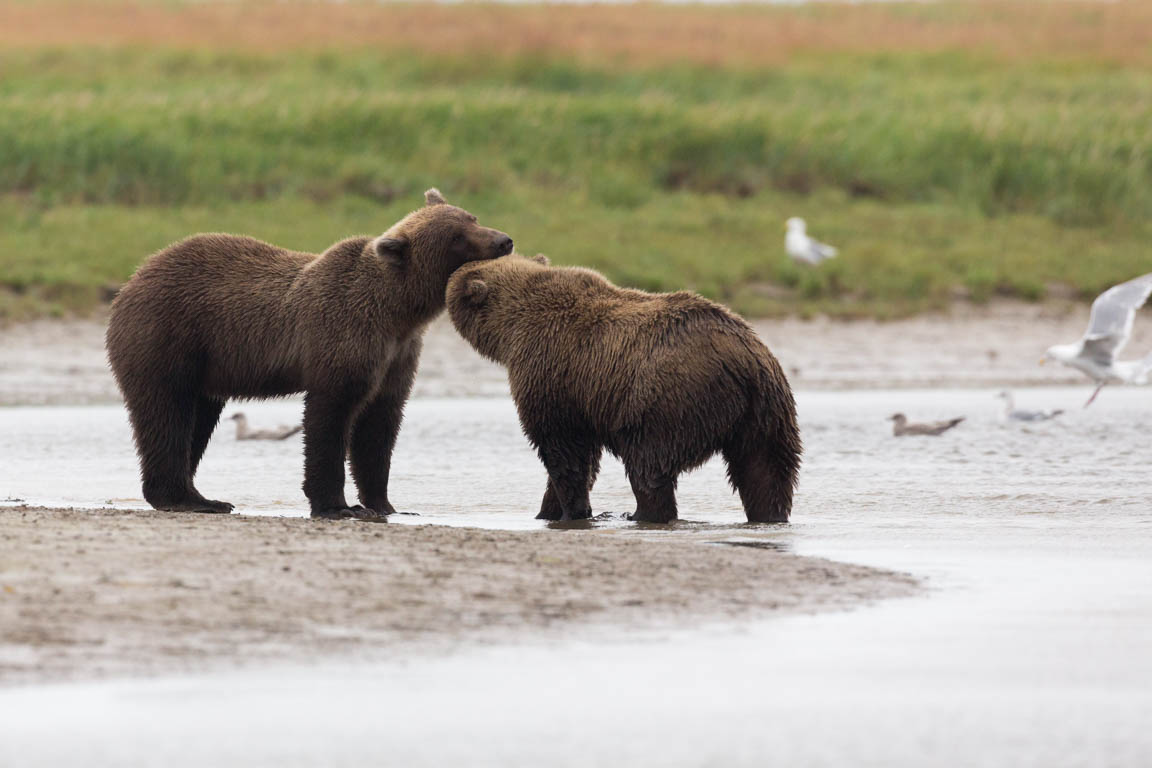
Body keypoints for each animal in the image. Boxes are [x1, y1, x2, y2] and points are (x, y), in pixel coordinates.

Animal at [108, 188, 513, 520]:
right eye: (457, 238)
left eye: (472, 218)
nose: (504, 240)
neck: (399, 313)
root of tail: (131, 281)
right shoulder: (341, 335)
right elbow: (329, 417)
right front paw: (339, 506)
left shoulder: (398, 355)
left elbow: (380, 425)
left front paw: (385, 504)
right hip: (168, 337)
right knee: (167, 412)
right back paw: (185, 498)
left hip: (207, 365)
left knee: (198, 418)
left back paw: (202, 497)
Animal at [446, 255, 801, 525]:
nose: (454, 272)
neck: (512, 329)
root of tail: (743, 361)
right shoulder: (582, 398)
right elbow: (583, 456)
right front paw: (547, 510)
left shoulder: (551, 374)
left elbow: (564, 452)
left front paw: (571, 511)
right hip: (767, 411)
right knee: (766, 470)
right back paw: (769, 515)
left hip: (668, 401)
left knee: (649, 467)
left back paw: (641, 514)